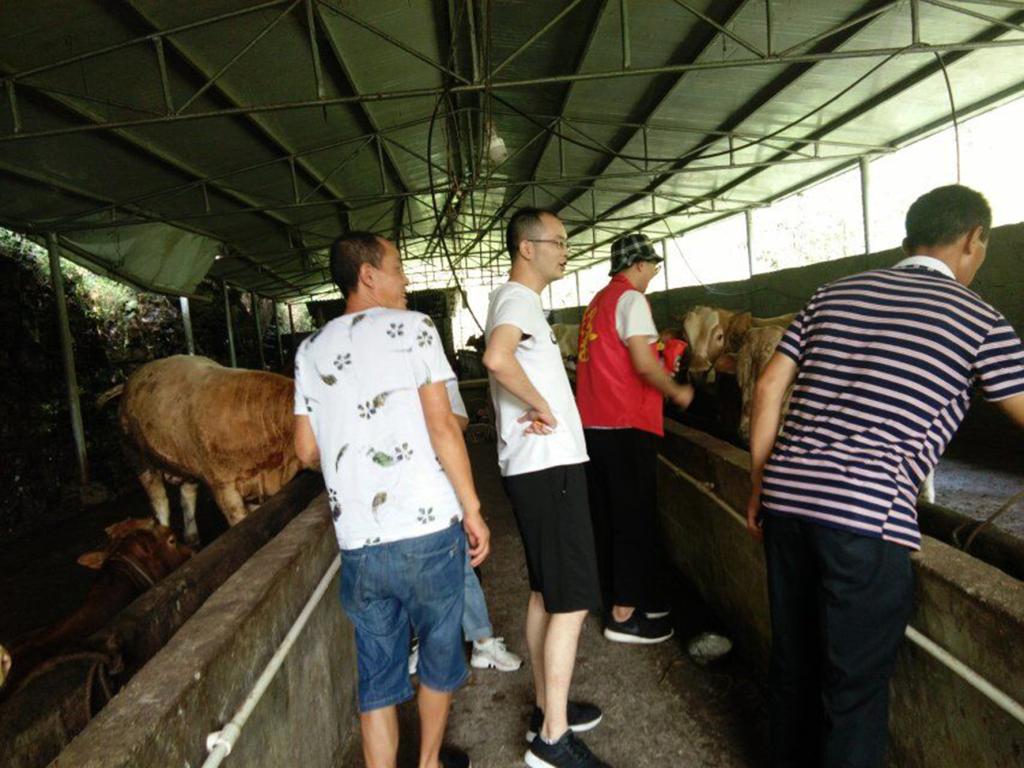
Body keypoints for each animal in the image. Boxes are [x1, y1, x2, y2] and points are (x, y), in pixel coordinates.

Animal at [111, 355, 301, 544]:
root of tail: (130, 380)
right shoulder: (222, 485)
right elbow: (240, 520)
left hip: (185, 462)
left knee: (187, 495)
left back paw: (192, 538)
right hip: (137, 457)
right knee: (160, 500)